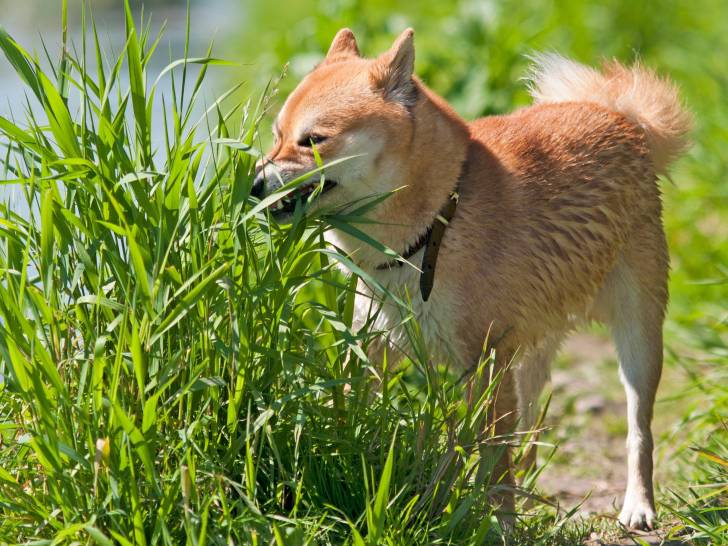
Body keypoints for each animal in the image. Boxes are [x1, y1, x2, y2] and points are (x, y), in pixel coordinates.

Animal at [253, 27, 692, 528]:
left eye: (313, 140)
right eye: (277, 136)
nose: (255, 184)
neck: (437, 224)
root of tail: (620, 117)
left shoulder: (484, 361)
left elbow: (492, 458)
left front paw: (500, 526)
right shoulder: (375, 345)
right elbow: (348, 409)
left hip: (637, 339)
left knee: (638, 429)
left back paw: (638, 504)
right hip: (531, 352)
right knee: (526, 430)